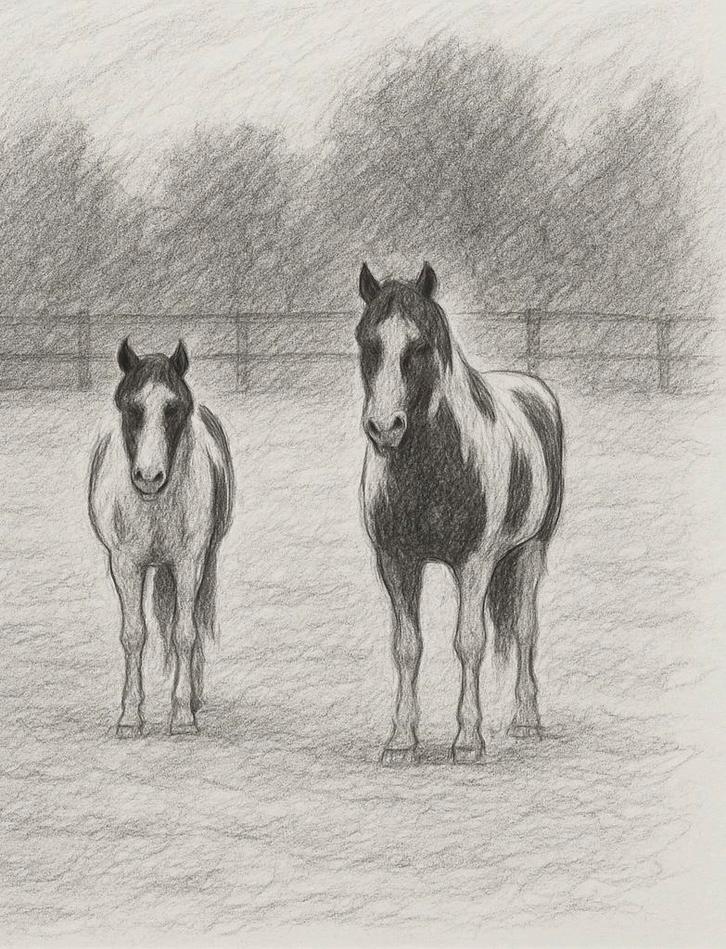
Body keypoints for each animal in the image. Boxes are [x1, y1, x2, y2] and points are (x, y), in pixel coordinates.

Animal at [88, 339, 234, 738]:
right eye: (131, 407)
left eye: (174, 408)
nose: (149, 477)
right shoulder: (124, 564)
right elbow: (134, 634)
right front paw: (129, 718)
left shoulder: (189, 562)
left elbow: (185, 633)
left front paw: (182, 716)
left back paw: (194, 700)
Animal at [356, 262, 564, 765]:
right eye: (367, 343)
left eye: (420, 346)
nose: (384, 428)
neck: (433, 469)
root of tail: (531, 387)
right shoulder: (396, 562)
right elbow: (407, 647)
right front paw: (401, 741)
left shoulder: (474, 563)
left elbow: (469, 642)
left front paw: (468, 740)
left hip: (531, 550)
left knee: (525, 630)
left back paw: (527, 721)